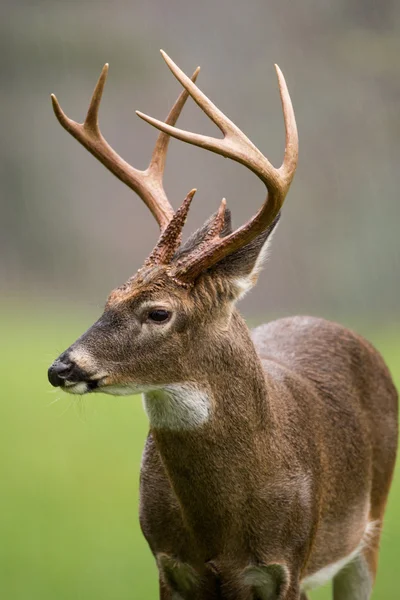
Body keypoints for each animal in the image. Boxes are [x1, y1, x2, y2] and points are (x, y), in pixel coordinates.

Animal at [47, 52, 396, 600]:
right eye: (110, 296)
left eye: (159, 312)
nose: (61, 368)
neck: (221, 529)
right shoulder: (168, 566)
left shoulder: (286, 567)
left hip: (369, 531)